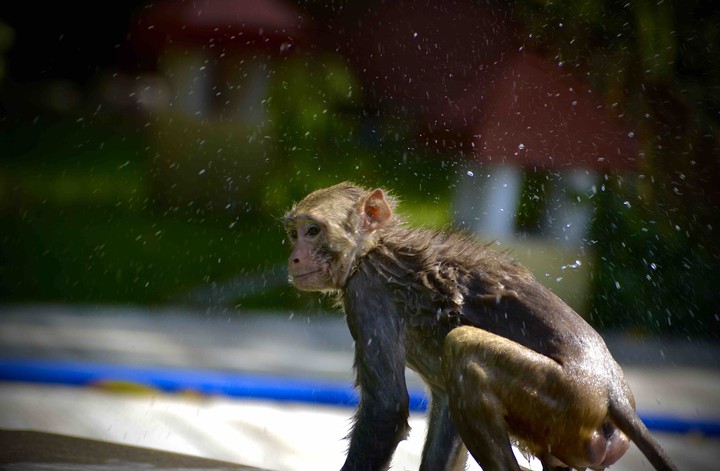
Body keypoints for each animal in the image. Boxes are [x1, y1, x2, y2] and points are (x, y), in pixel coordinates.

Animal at [284, 182, 677, 471]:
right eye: (294, 234)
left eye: (313, 231)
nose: (294, 258)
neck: (372, 248)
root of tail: (612, 392)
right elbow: (444, 403)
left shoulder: (366, 292)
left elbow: (386, 408)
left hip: (566, 396)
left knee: (464, 350)